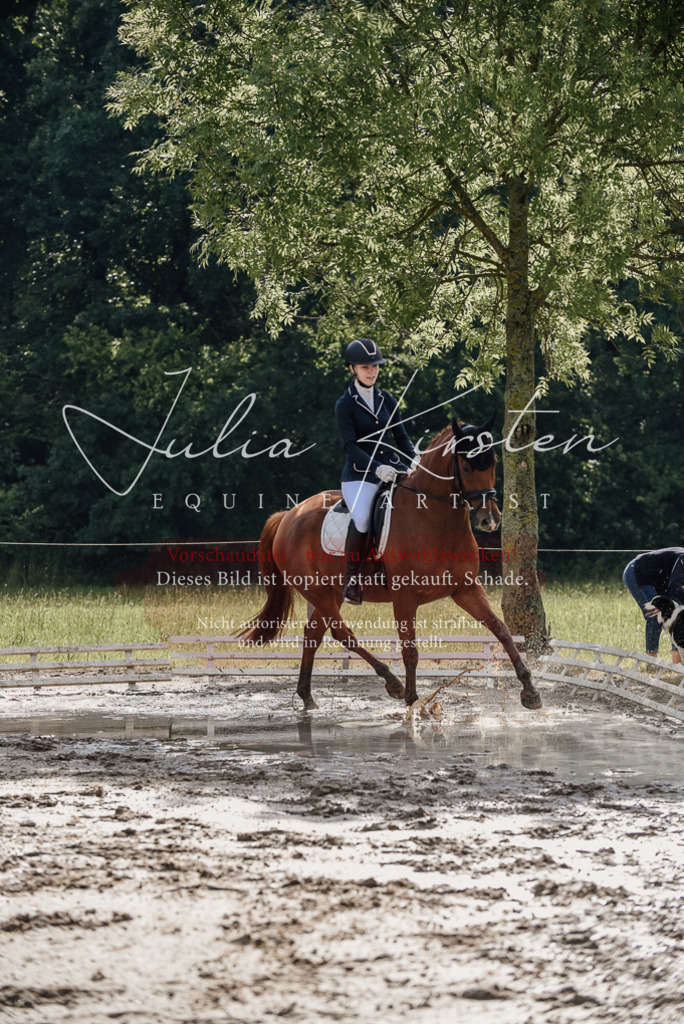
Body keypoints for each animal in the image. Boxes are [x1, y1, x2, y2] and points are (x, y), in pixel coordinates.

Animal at [240, 417, 541, 712]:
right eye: (466, 467)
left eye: (493, 462)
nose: (490, 519)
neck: (435, 519)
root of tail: (289, 515)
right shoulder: (404, 597)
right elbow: (410, 650)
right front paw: (412, 702)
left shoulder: (466, 589)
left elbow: (501, 630)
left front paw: (530, 690)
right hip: (316, 590)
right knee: (341, 633)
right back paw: (391, 682)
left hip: (331, 593)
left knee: (314, 633)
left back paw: (307, 697)